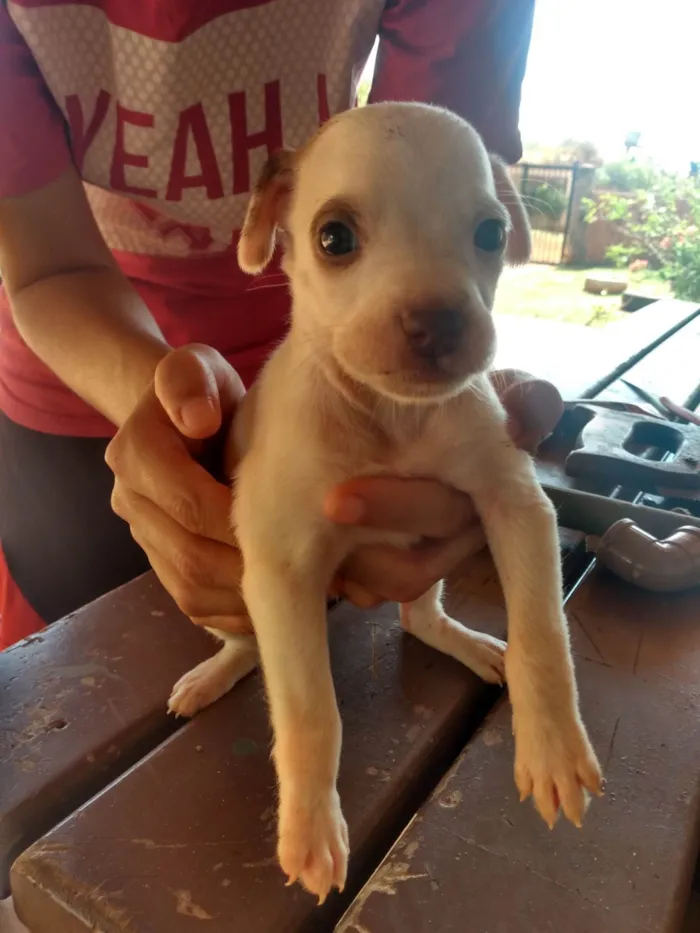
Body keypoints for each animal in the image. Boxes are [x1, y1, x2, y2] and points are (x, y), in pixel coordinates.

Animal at [168, 102, 600, 904]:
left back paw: (464, 640)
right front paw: (311, 827)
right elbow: (311, 710)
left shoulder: (515, 504)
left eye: (491, 233)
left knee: (417, 615)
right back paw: (213, 675)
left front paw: (553, 746)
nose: (439, 321)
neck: (391, 418)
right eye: (334, 237)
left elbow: (543, 633)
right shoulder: (280, 566)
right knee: (247, 644)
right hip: (237, 599)